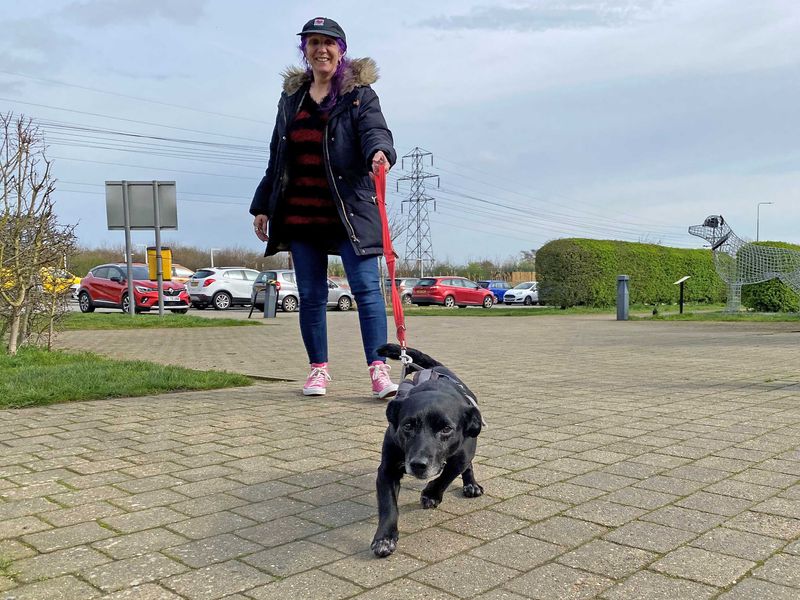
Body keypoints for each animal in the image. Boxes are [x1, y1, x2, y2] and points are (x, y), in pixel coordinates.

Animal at [368, 344, 482, 560]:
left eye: (446, 429)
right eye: (408, 426)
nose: (418, 465)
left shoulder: (461, 455)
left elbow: (447, 475)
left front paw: (431, 494)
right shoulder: (387, 470)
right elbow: (388, 505)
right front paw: (385, 538)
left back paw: (471, 484)